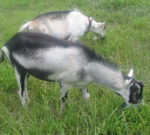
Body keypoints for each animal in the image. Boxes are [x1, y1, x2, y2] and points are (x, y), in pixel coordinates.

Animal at [0, 32, 143, 110]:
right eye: (135, 94)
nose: (138, 107)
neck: (87, 64)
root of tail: (8, 43)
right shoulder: (65, 82)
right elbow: (63, 100)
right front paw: (60, 117)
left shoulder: (83, 84)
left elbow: (87, 97)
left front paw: (90, 112)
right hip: (18, 67)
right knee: (20, 90)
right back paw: (25, 108)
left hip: (26, 70)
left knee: (24, 87)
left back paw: (29, 101)